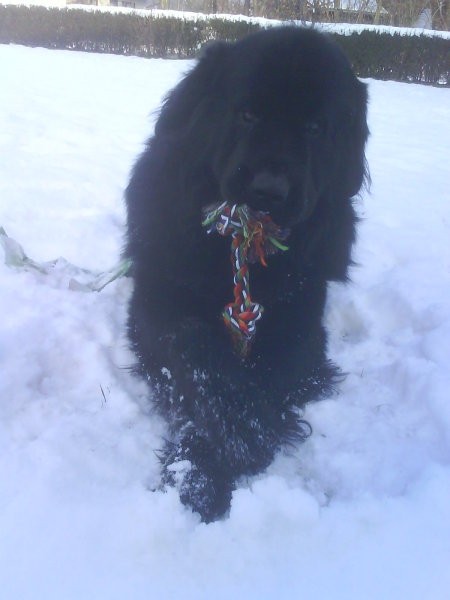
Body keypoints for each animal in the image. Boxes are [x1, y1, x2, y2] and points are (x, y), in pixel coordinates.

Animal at [125, 27, 368, 520]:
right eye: (248, 114)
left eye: (316, 128)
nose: (269, 190)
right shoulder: (154, 299)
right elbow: (193, 345)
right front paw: (231, 438)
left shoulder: (302, 319)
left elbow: (274, 371)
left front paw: (210, 462)